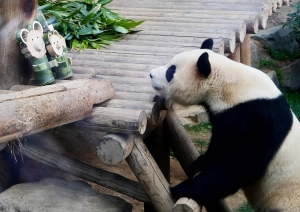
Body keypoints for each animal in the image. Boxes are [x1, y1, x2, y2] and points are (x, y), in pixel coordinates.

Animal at [150, 38, 300, 212]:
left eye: (170, 72)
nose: (151, 74)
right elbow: (219, 144)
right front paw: (199, 163)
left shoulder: (255, 117)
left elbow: (240, 165)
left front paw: (181, 189)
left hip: (287, 201)